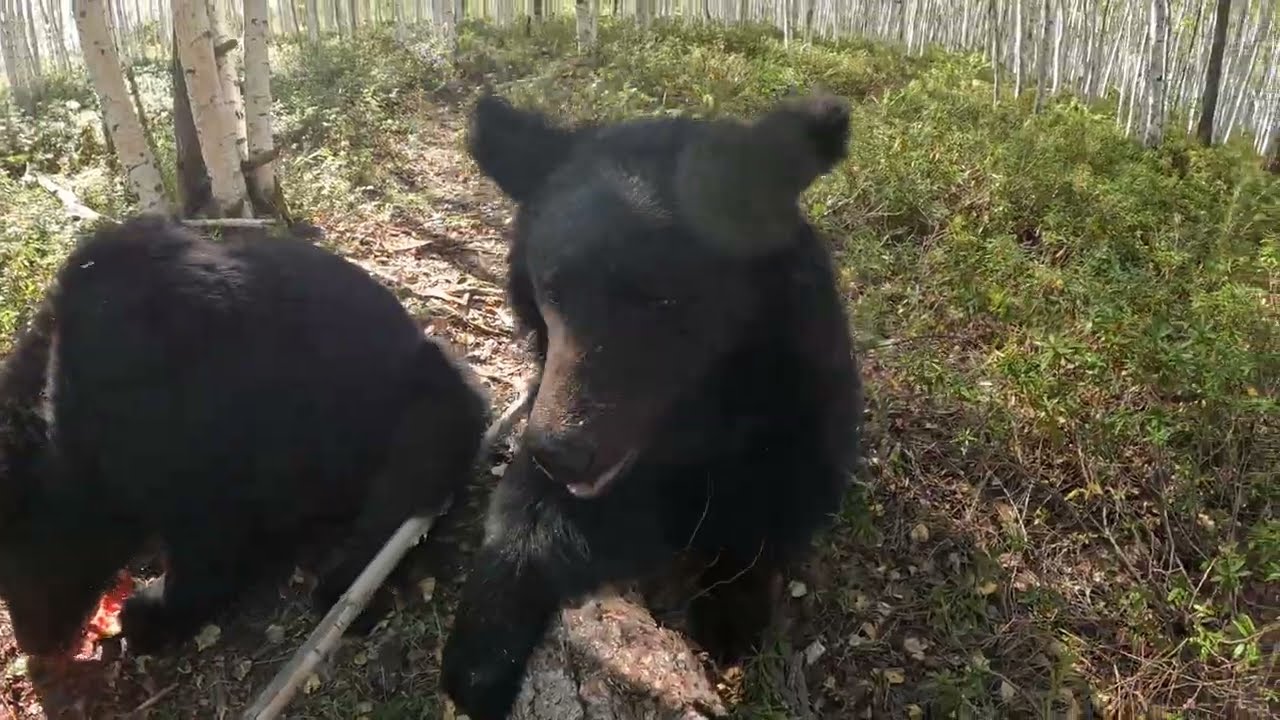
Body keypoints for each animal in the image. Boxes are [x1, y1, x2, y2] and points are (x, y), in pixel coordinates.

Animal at [0, 215, 489, 658]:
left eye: (22, 566)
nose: (35, 647)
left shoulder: (194, 444)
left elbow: (206, 541)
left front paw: (151, 616)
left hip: (429, 402)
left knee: (402, 494)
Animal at [441, 91, 865, 720]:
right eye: (551, 288)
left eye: (664, 299)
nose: (560, 453)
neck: (693, 421)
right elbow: (524, 515)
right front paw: (478, 660)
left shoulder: (797, 410)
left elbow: (771, 505)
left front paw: (729, 613)